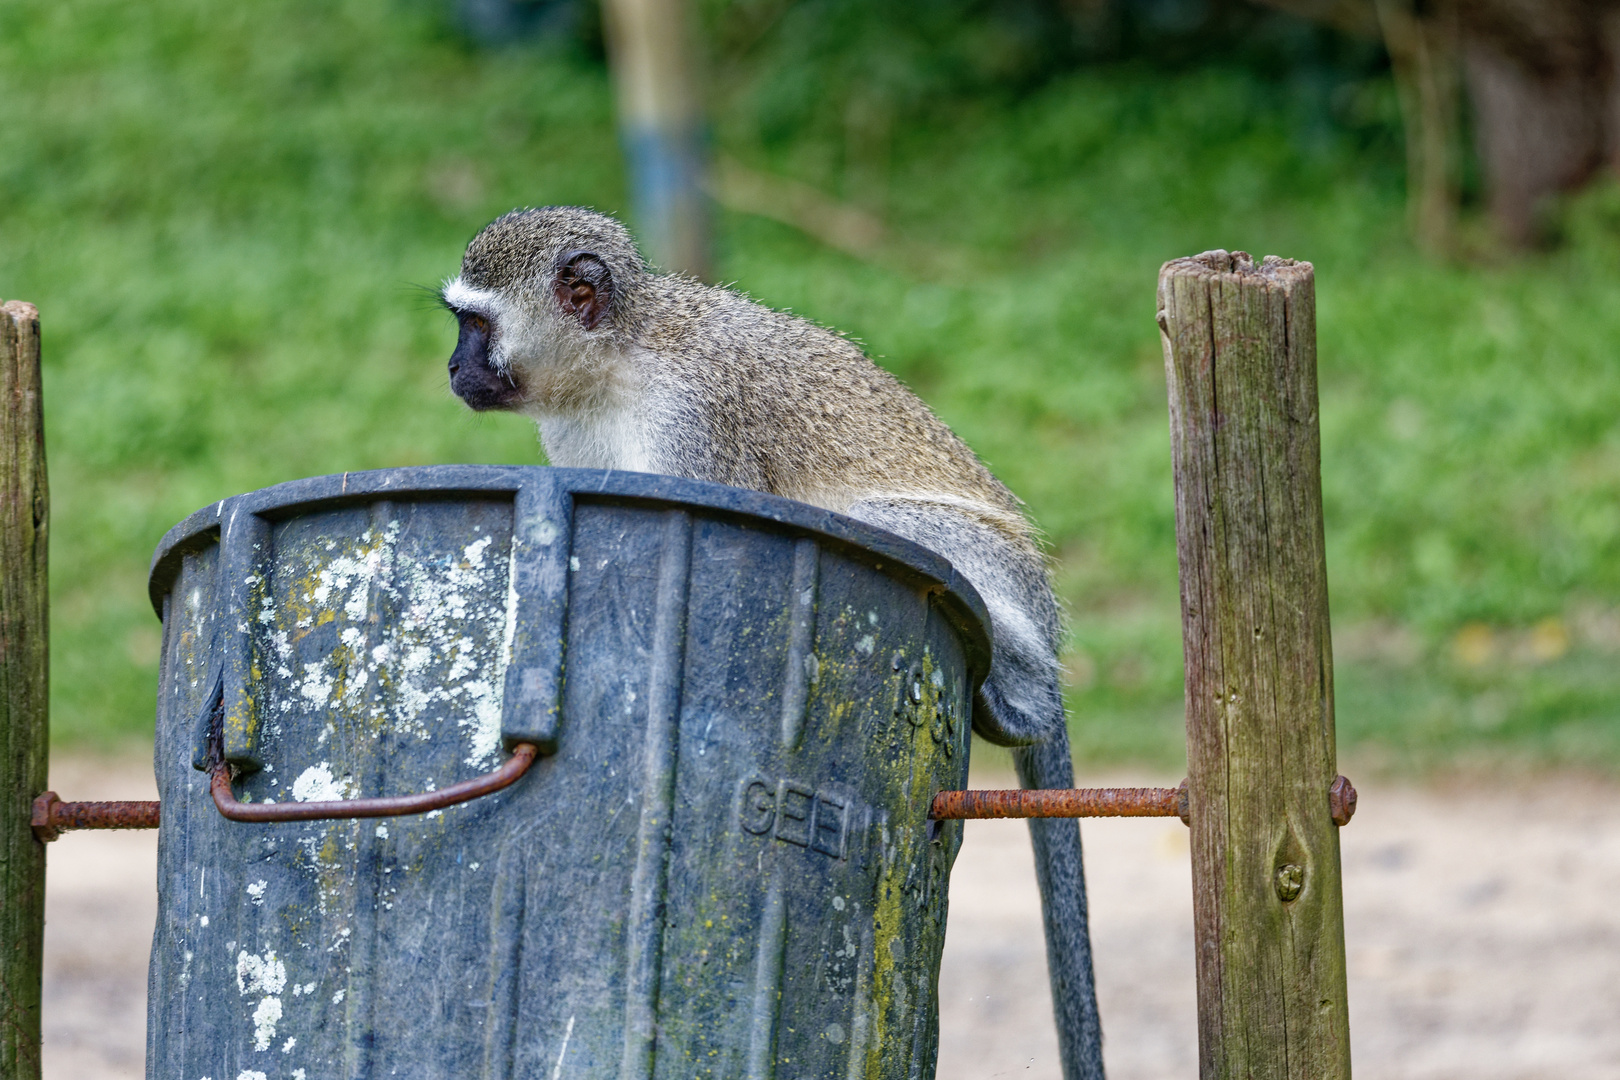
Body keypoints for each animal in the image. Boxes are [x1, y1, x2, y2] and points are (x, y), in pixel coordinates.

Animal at [440, 207, 1101, 1075]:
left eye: (476, 326)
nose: (453, 367)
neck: (620, 357)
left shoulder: (692, 419)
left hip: (1002, 575)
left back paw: (1022, 699)